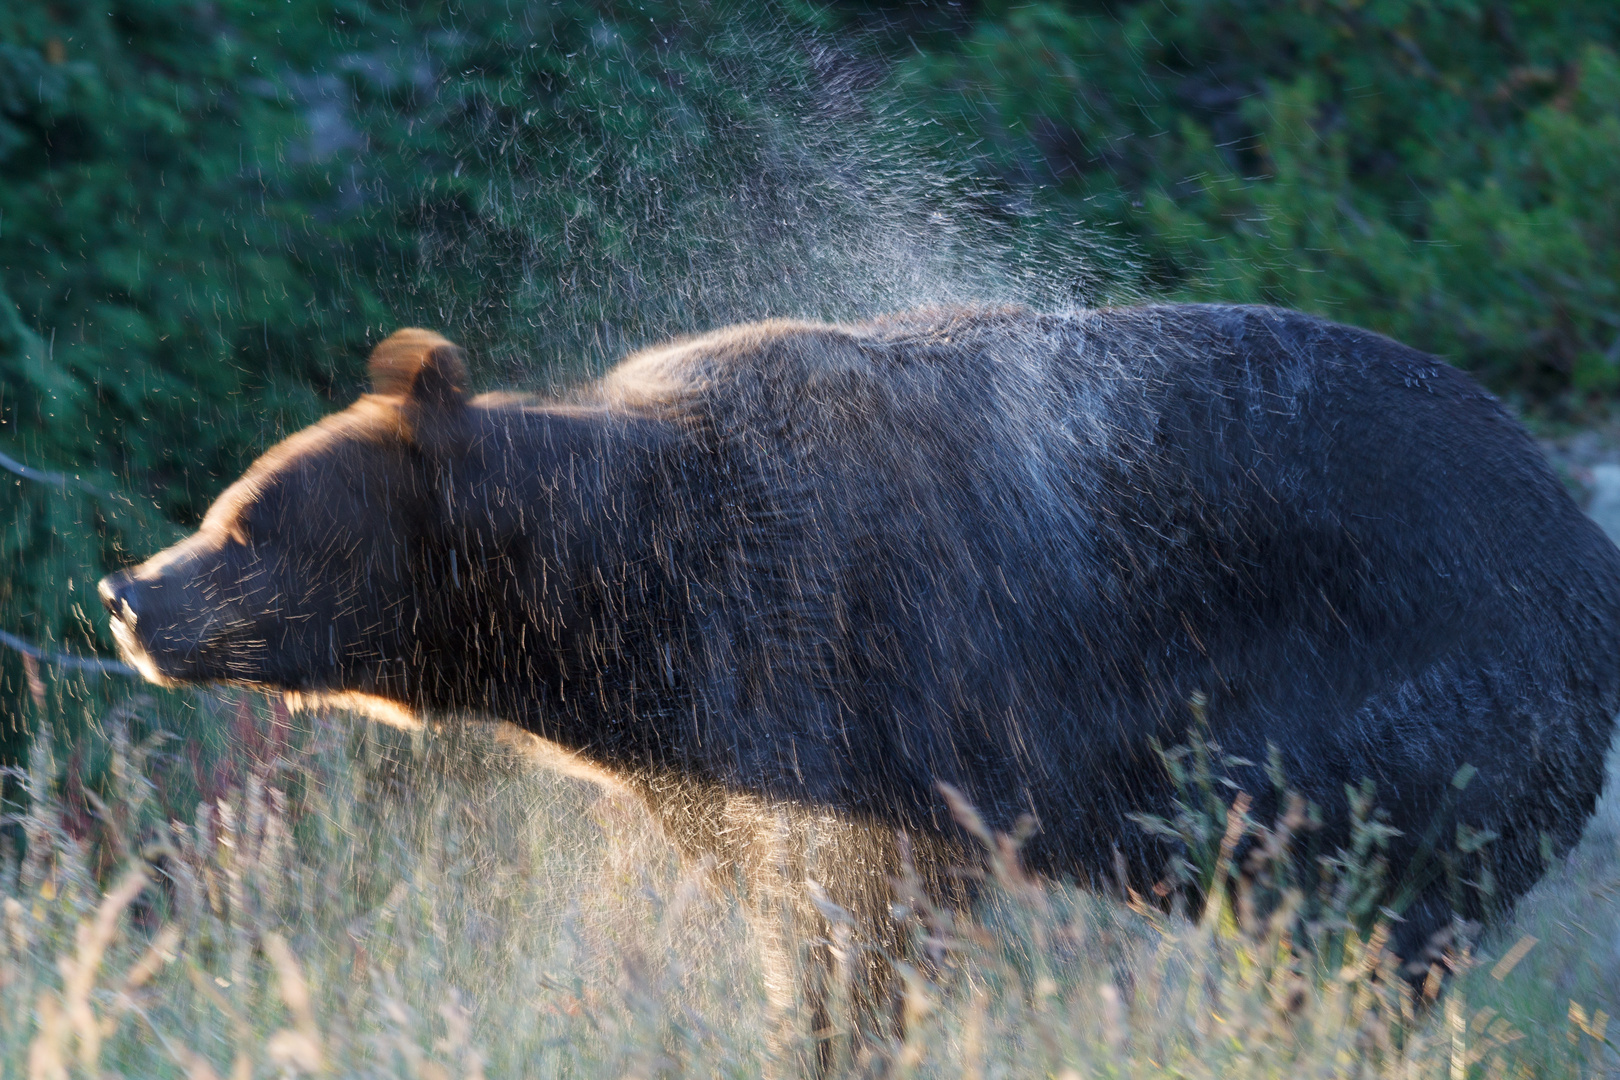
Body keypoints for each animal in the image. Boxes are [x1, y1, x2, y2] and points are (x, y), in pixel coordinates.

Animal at [101, 304, 1620, 1016]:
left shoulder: (870, 676)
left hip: (1415, 727)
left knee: (1364, 935)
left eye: (245, 519)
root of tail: (1582, 545)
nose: (126, 593)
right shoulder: (737, 760)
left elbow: (870, 927)